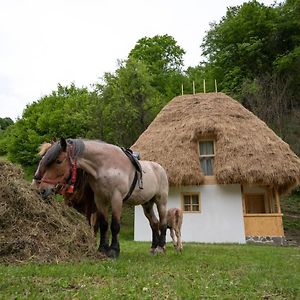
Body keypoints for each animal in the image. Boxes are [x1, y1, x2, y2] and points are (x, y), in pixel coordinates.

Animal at [33, 138, 169, 258]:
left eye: (59, 161)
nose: (42, 190)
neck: (106, 166)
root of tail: (160, 168)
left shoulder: (116, 199)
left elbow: (115, 225)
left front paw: (114, 250)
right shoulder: (100, 200)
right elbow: (104, 225)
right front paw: (102, 249)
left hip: (161, 202)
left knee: (163, 223)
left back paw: (161, 248)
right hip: (147, 204)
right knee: (154, 223)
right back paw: (153, 248)